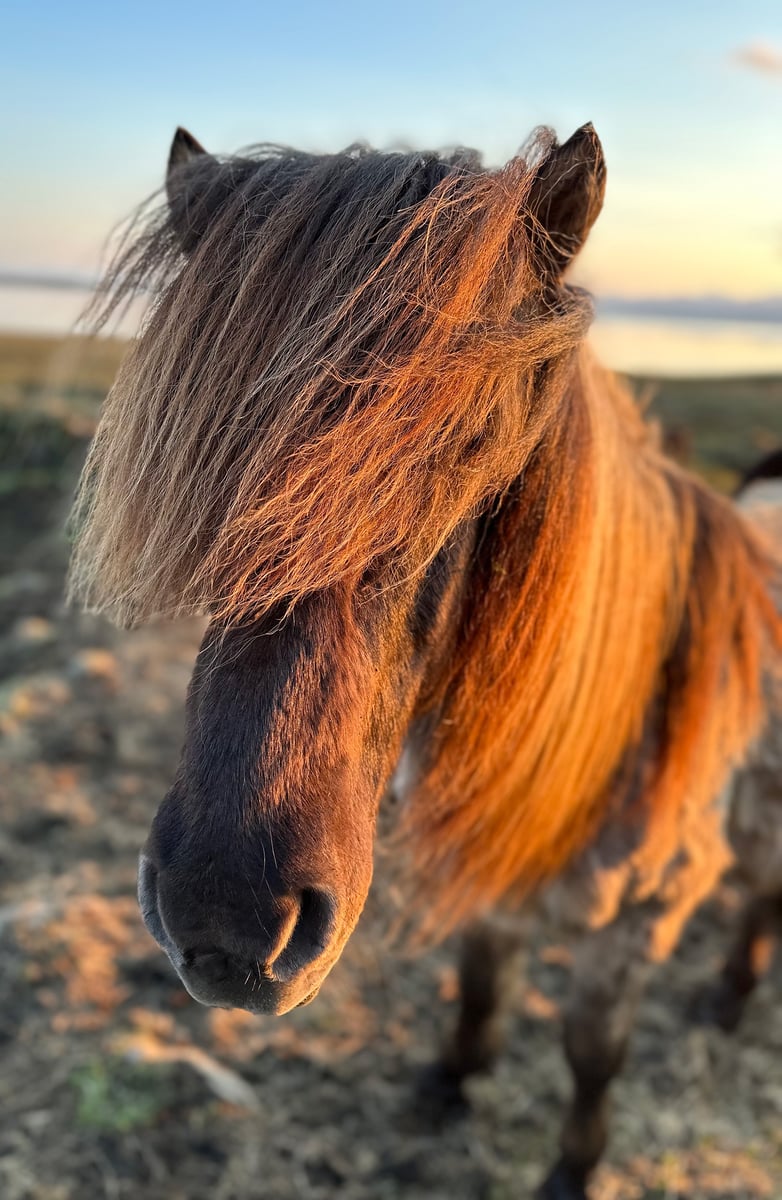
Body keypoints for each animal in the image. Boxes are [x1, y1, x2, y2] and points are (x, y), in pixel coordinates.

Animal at [70, 126, 777, 1195]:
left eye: (471, 446)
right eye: (210, 449)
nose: (229, 921)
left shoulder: (633, 923)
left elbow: (592, 1053)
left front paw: (572, 1170)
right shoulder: (496, 862)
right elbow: (482, 982)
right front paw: (451, 1080)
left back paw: (731, 1000)